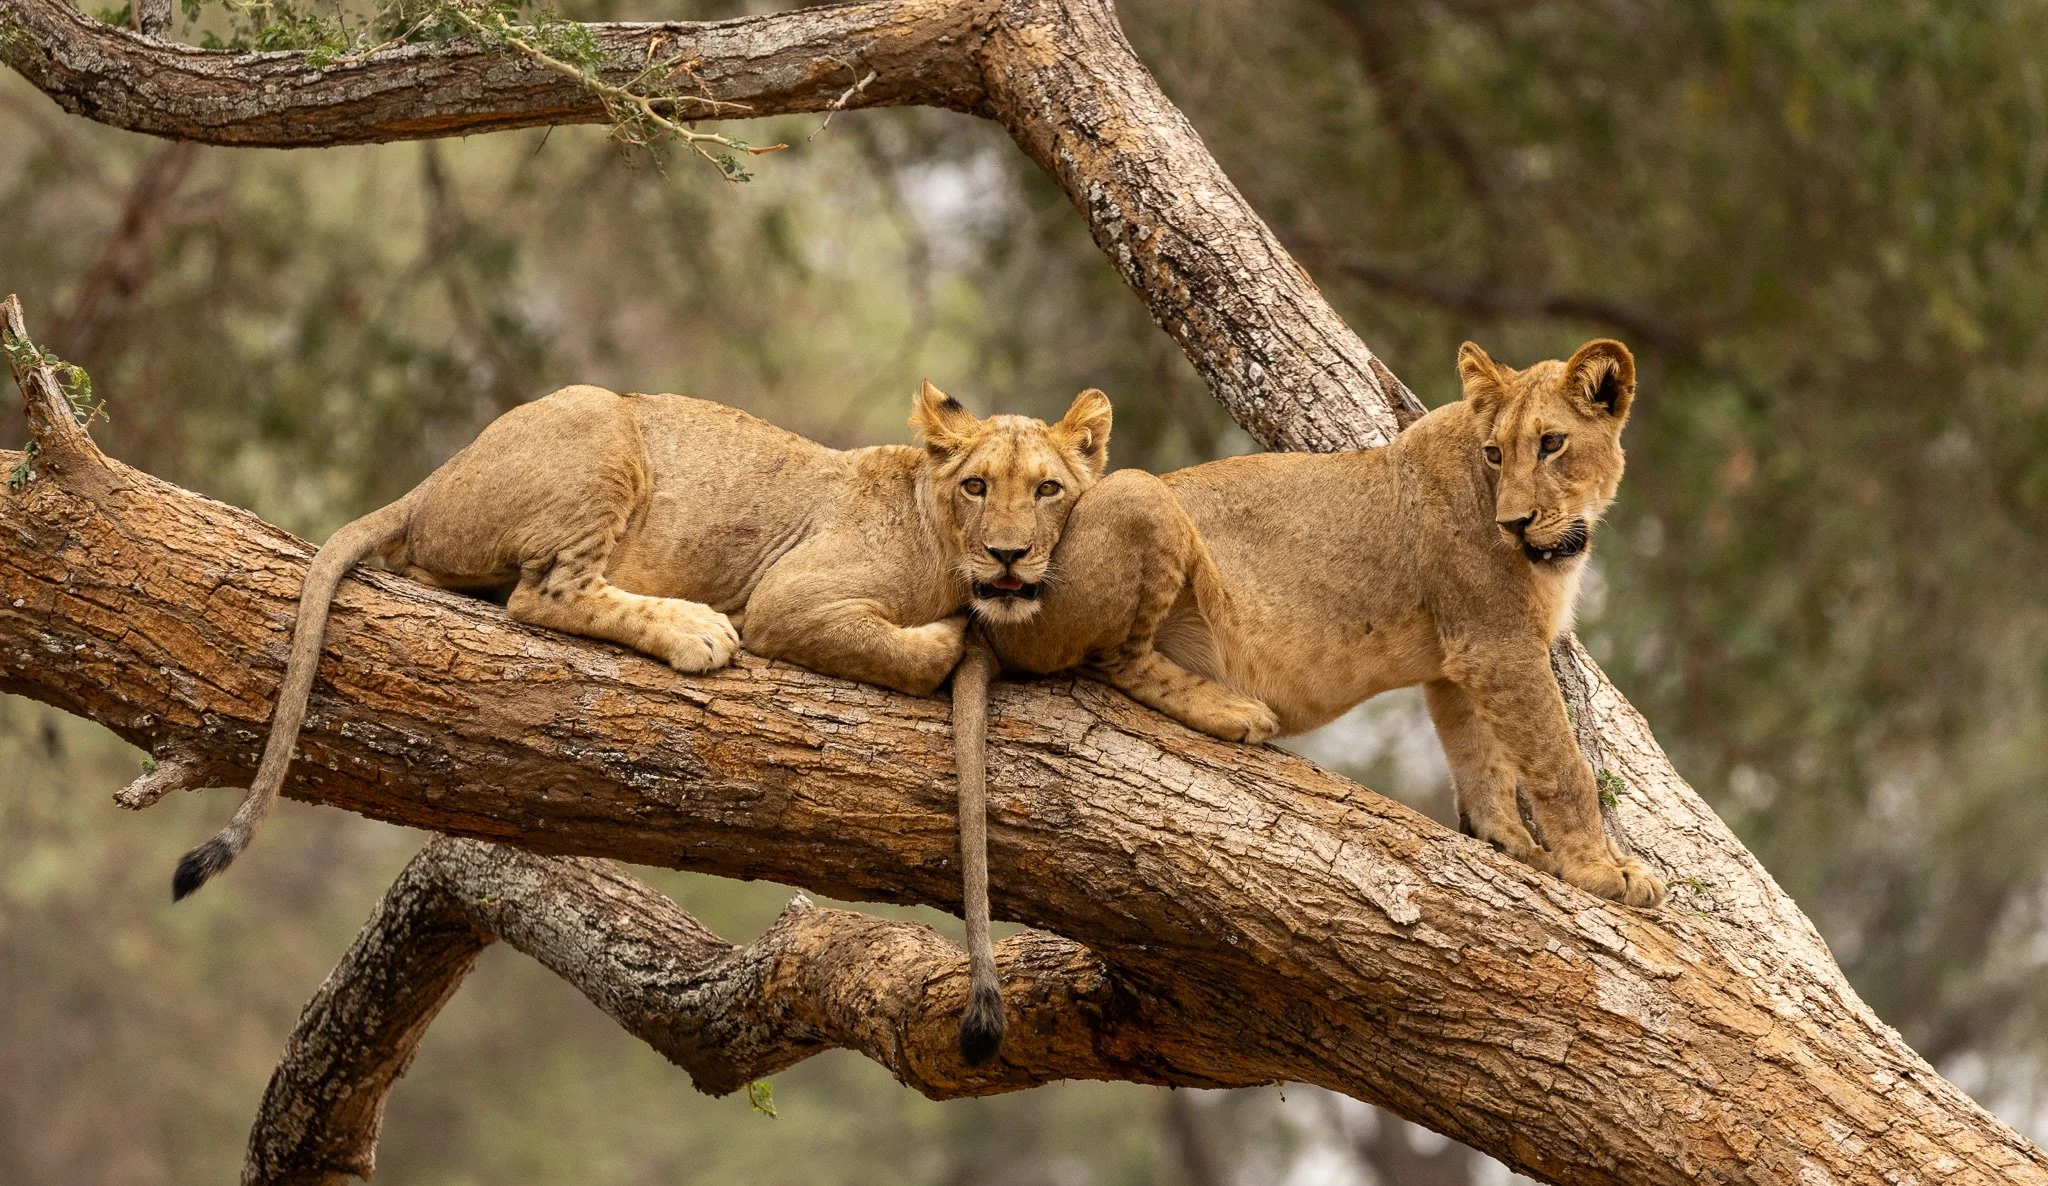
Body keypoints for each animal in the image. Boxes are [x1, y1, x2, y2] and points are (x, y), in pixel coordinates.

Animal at [172, 380, 1114, 998]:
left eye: (1049, 490)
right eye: (977, 486)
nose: (1007, 557)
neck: (932, 522)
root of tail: (435, 479)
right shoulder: (791, 601)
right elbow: (907, 649)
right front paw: (957, 632)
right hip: (602, 427)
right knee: (543, 595)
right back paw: (694, 631)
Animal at [962, 338, 1664, 910]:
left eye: (1551, 444)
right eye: (1495, 453)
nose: (1514, 524)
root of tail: (988, 592)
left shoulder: (1461, 658)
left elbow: (1481, 760)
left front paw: (1511, 843)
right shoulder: (1497, 643)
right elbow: (1561, 763)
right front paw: (1605, 872)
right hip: (1136, 495)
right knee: (1114, 657)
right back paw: (1233, 711)